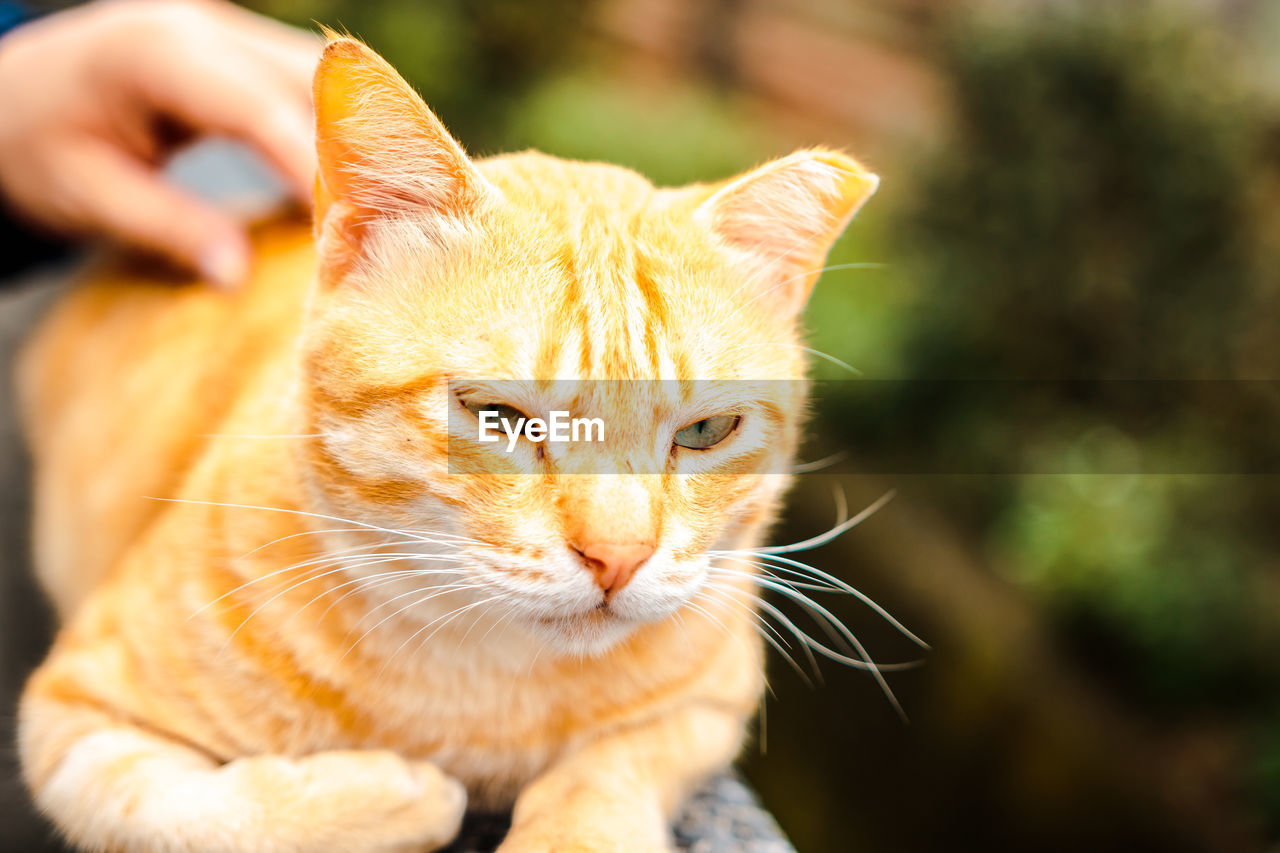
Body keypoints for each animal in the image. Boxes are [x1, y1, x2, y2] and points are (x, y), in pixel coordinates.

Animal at [17, 34, 880, 850]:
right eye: (497, 414)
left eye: (705, 431)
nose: (619, 556)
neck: (479, 687)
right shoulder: (73, 717)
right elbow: (191, 812)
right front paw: (401, 795)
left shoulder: (711, 701)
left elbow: (611, 768)